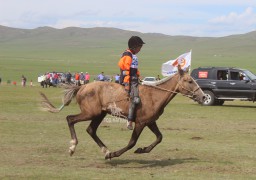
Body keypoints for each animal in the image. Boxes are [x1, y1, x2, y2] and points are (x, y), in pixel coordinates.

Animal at [40, 67, 205, 159]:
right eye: (189, 81)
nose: (203, 96)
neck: (154, 95)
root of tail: (81, 87)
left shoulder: (150, 121)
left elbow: (159, 137)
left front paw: (142, 150)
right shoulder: (141, 123)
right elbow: (132, 142)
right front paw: (116, 154)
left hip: (99, 114)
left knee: (91, 129)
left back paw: (105, 150)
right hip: (90, 113)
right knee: (70, 119)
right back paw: (73, 147)